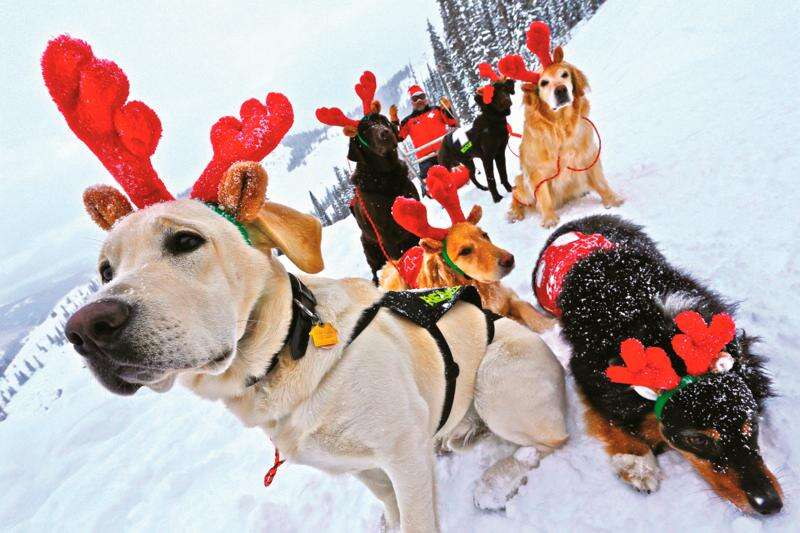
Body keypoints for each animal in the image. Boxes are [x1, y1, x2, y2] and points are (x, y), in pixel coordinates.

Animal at [348, 113, 422, 282]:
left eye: (383, 121)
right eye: (365, 130)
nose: (385, 133)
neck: (387, 177)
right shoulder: (386, 235)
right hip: (371, 250)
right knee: (375, 271)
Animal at [378, 165, 552, 332]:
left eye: (484, 235)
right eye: (465, 251)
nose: (509, 260)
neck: (480, 288)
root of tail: (397, 260)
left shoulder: (507, 296)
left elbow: (526, 308)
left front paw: (548, 325)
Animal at [500, 21, 624, 227]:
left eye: (564, 74)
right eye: (543, 83)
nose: (561, 90)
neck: (561, 125)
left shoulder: (588, 155)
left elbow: (600, 182)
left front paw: (612, 199)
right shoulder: (537, 173)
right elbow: (543, 197)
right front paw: (550, 219)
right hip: (521, 184)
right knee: (516, 197)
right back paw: (515, 213)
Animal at [536, 214, 784, 512]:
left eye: (751, 425)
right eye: (697, 439)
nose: (769, 504)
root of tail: (585, 217)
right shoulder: (590, 373)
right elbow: (612, 418)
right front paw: (639, 465)